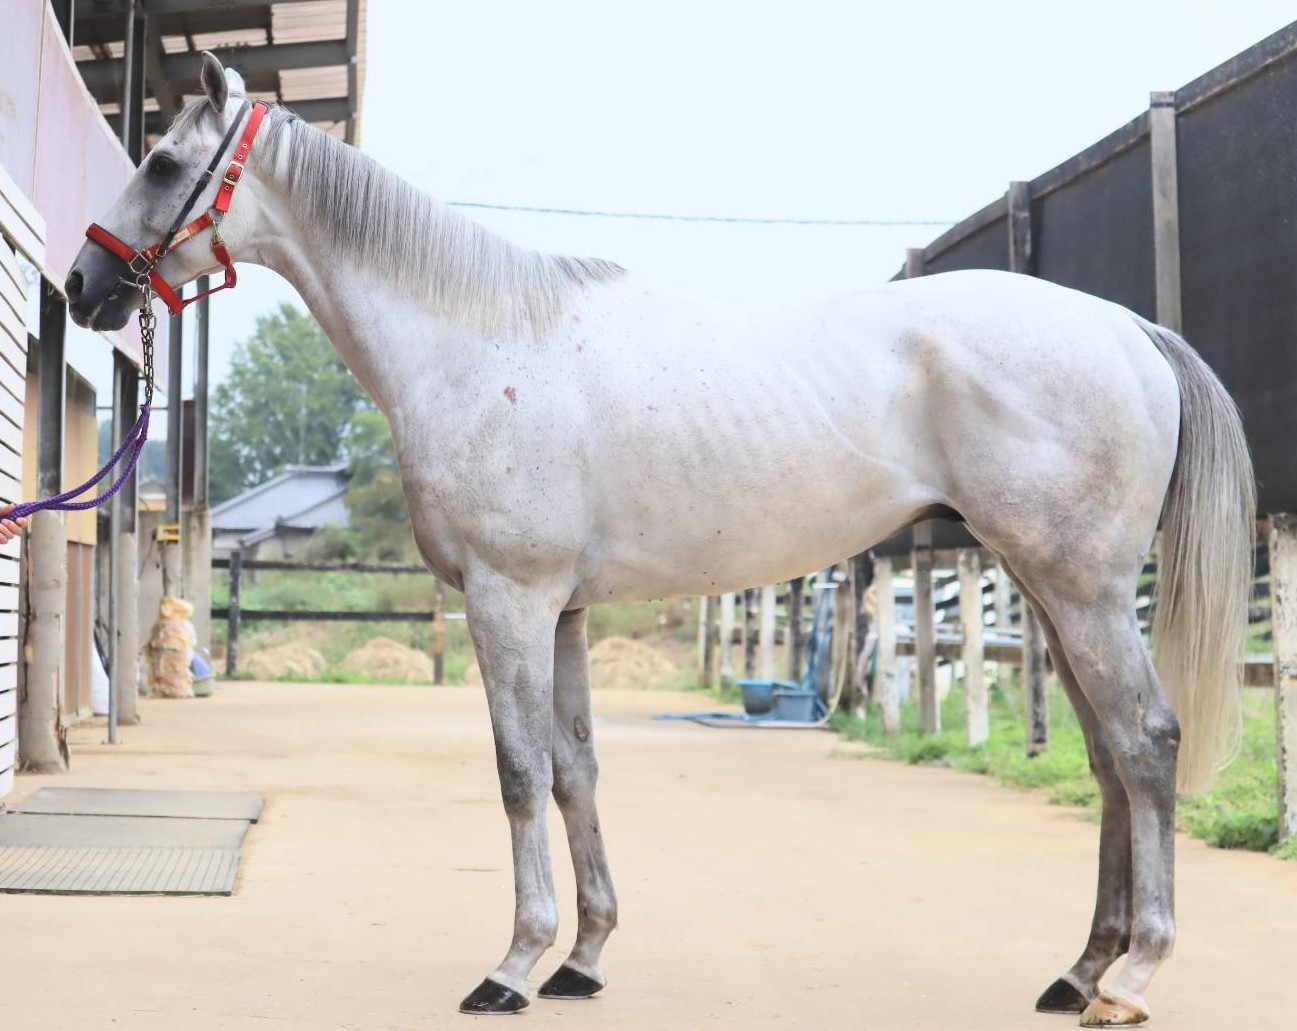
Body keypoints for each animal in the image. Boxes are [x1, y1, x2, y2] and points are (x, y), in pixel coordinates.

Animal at [65, 54, 1254, 1027]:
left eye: (163, 162)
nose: (85, 286)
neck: (478, 344)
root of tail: (1126, 328)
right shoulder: (564, 610)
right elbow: (575, 768)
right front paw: (583, 956)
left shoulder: (509, 598)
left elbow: (517, 769)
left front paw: (512, 965)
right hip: (1046, 588)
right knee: (1106, 756)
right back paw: (1077, 968)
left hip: (1083, 589)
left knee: (1146, 742)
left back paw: (1133, 975)